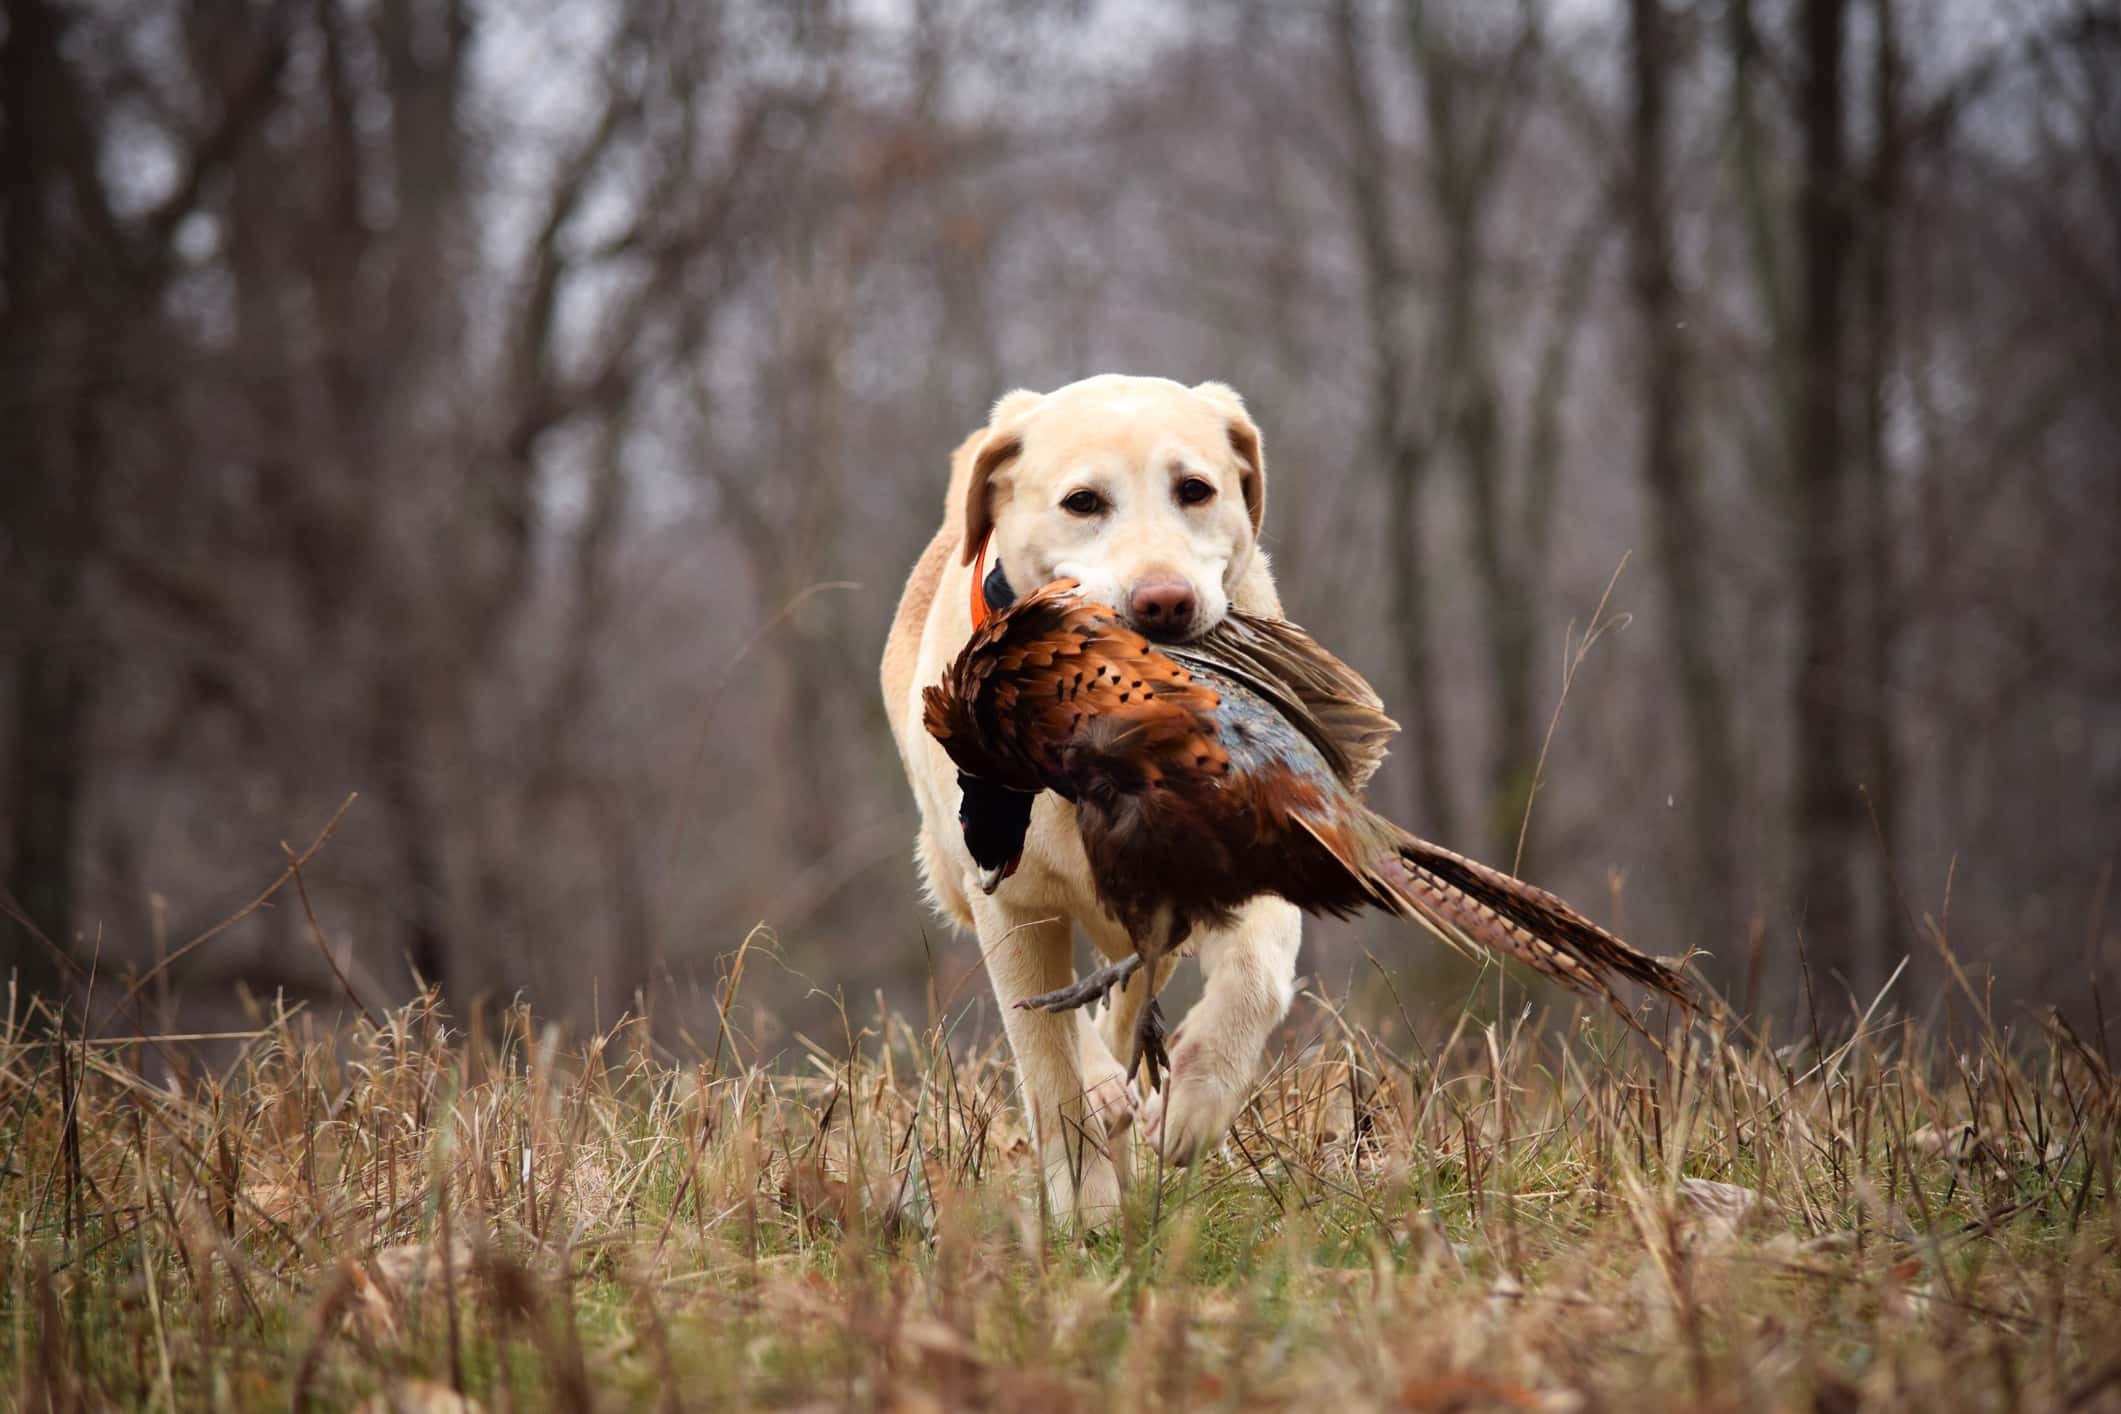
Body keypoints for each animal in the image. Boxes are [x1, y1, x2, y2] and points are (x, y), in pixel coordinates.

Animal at [873, 375, 1298, 1229]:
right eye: (1082, 502)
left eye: (1195, 490)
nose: (1162, 602)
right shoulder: (1010, 903)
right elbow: (1048, 1065)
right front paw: (1088, 1212)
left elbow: (1256, 974)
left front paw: (1195, 1103)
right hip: (953, 866)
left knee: (1131, 997)